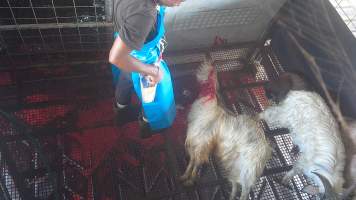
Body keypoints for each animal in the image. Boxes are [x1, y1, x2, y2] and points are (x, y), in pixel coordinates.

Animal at [182, 61, 272, 200]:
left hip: (247, 170)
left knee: (245, 190)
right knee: (235, 185)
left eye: (208, 70)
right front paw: (185, 176)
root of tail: (265, 149)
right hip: (236, 166)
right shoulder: (196, 143)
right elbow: (192, 161)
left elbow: (196, 162)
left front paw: (190, 179)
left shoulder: (202, 142)